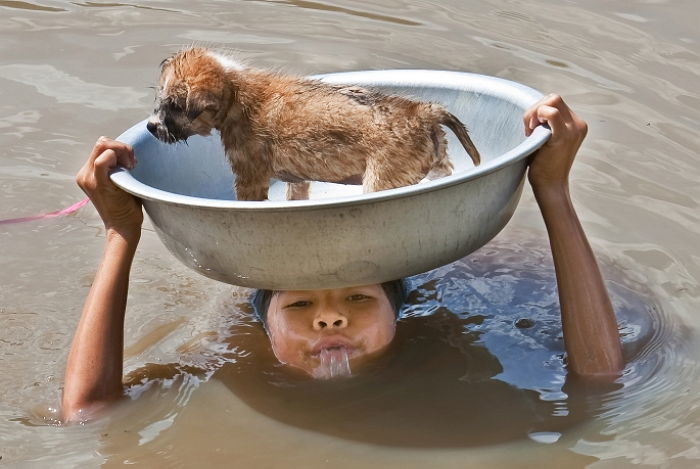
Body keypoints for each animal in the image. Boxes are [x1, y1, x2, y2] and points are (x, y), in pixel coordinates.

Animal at [145, 47, 478, 199]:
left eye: (174, 106)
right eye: (160, 100)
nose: (151, 127)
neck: (235, 92)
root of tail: (421, 111)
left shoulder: (249, 177)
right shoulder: (297, 180)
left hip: (380, 181)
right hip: (436, 160)